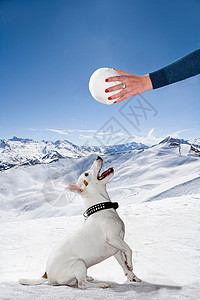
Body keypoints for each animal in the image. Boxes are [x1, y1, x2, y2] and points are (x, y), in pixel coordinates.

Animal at [19, 157, 141, 288]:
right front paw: (130, 264)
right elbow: (129, 249)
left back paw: (89, 277)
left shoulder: (116, 250)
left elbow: (124, 266)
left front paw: (133, 277)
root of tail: (47, 274)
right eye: (86, 174)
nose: (98, 157)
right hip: (79, 263)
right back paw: (100, 284)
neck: (101, 209)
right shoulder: (112, 238)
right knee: (82, 284)